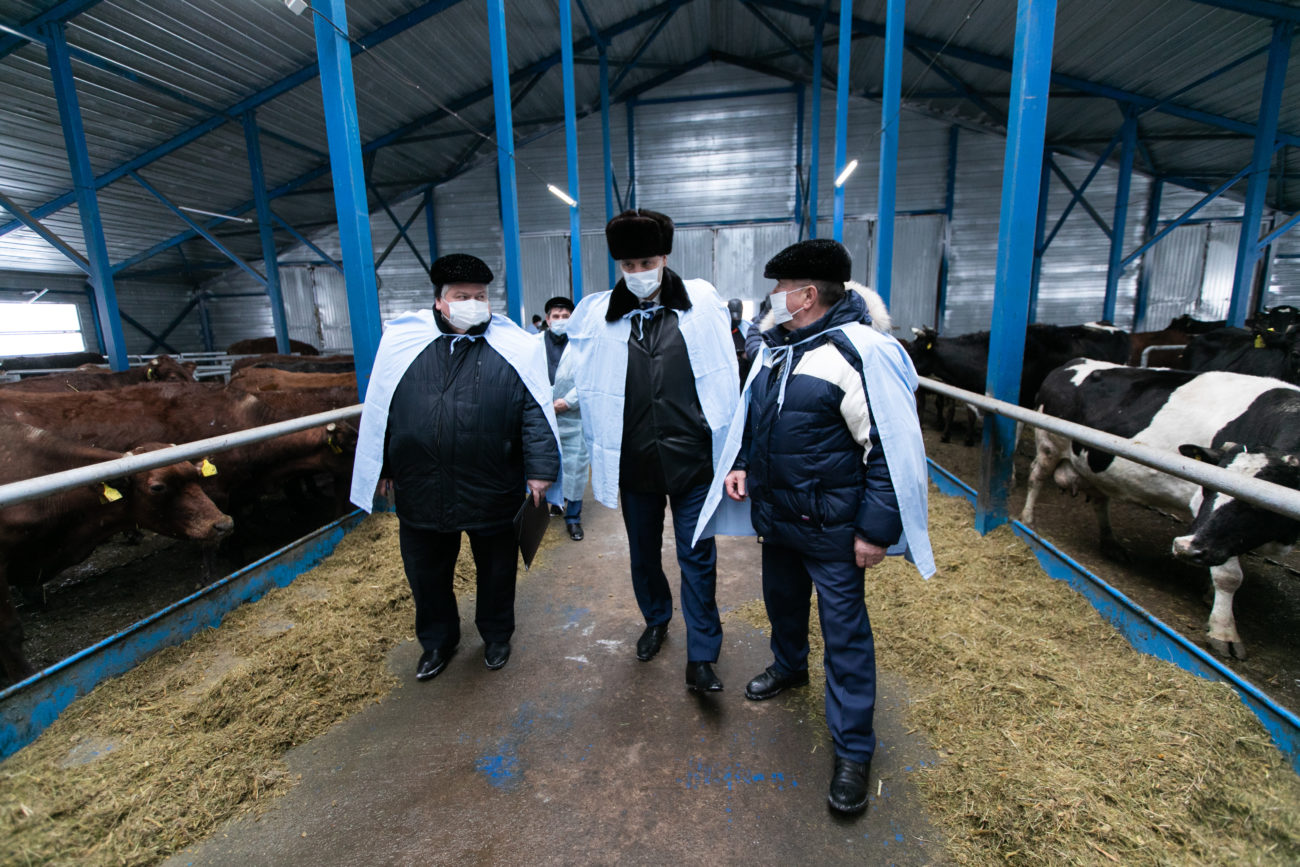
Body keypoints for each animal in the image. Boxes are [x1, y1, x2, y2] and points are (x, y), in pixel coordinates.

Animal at [1024, 358, 1300, 657]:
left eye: (1255, 504)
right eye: (1209, 487)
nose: (1185, 547)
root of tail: (1074, 362)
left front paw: (1210, 593)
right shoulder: (1201, 506)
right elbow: (1229, 575)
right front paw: (1224, 632)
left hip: (1098, 465)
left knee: (1100, 500)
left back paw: (1111, 543)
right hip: (1049, 446)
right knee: (1036, 479)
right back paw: (1029, 520)